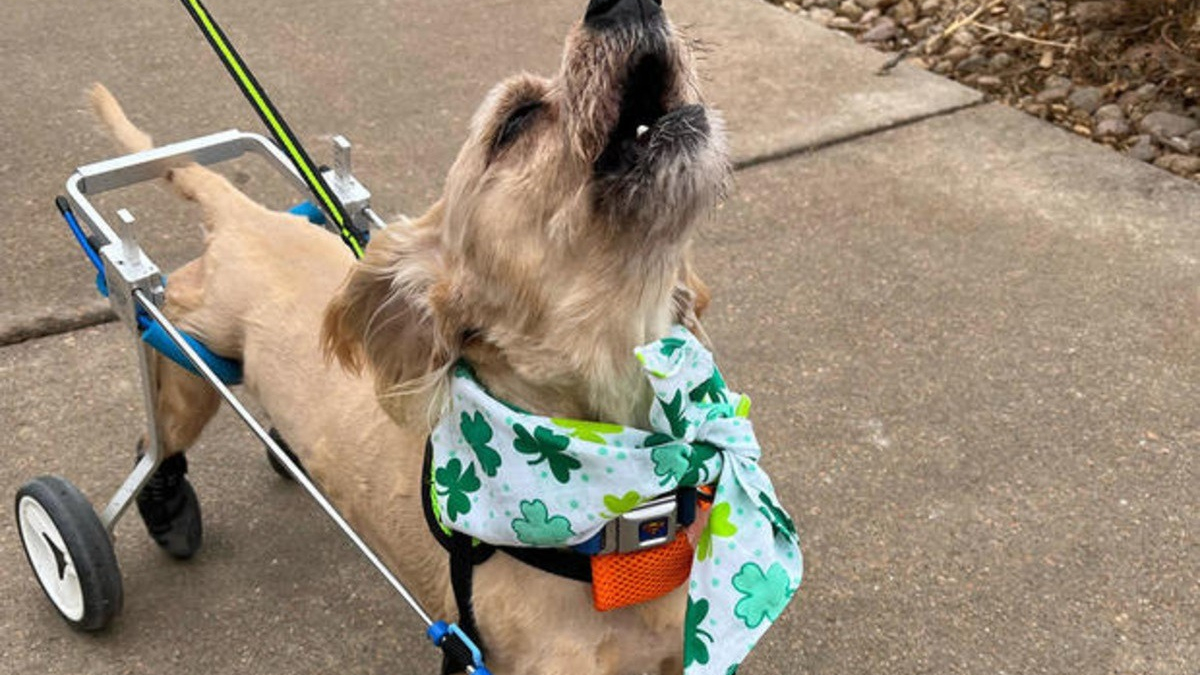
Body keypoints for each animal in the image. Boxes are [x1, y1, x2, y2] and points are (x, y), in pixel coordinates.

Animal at [88, 2, 724, 667]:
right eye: (515, 119)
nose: (625, 5)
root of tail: (247, 218)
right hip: (188, 350)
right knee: (157, 433)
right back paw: (156, 504)